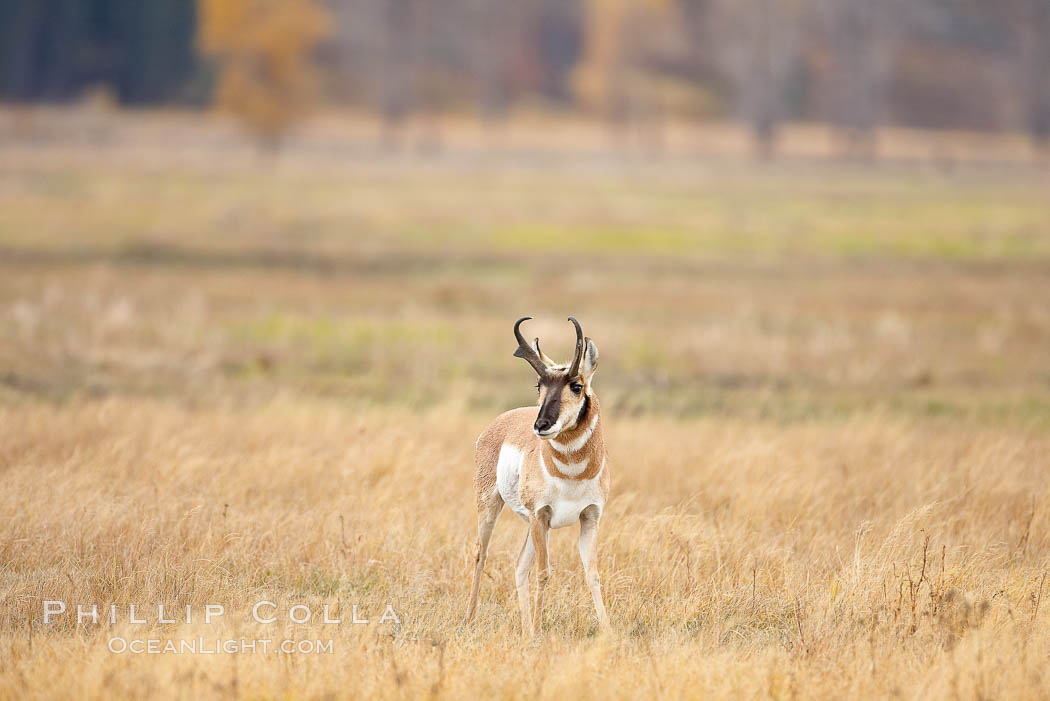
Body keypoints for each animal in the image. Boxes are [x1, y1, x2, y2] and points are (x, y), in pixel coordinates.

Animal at [466, 316, 613, 633]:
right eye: (539, 384)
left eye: (577, 386)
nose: (541, 425)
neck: (571, 475)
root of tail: (500, 421)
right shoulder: (541, 515)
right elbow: (544, 573)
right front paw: (538, 629)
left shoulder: (589, 517)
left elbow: (592, 573)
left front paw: (608, 631)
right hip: (492, 507)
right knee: (481, 554)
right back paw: (470, 619)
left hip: (533, 526)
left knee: (520, 565)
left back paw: (524, 627)